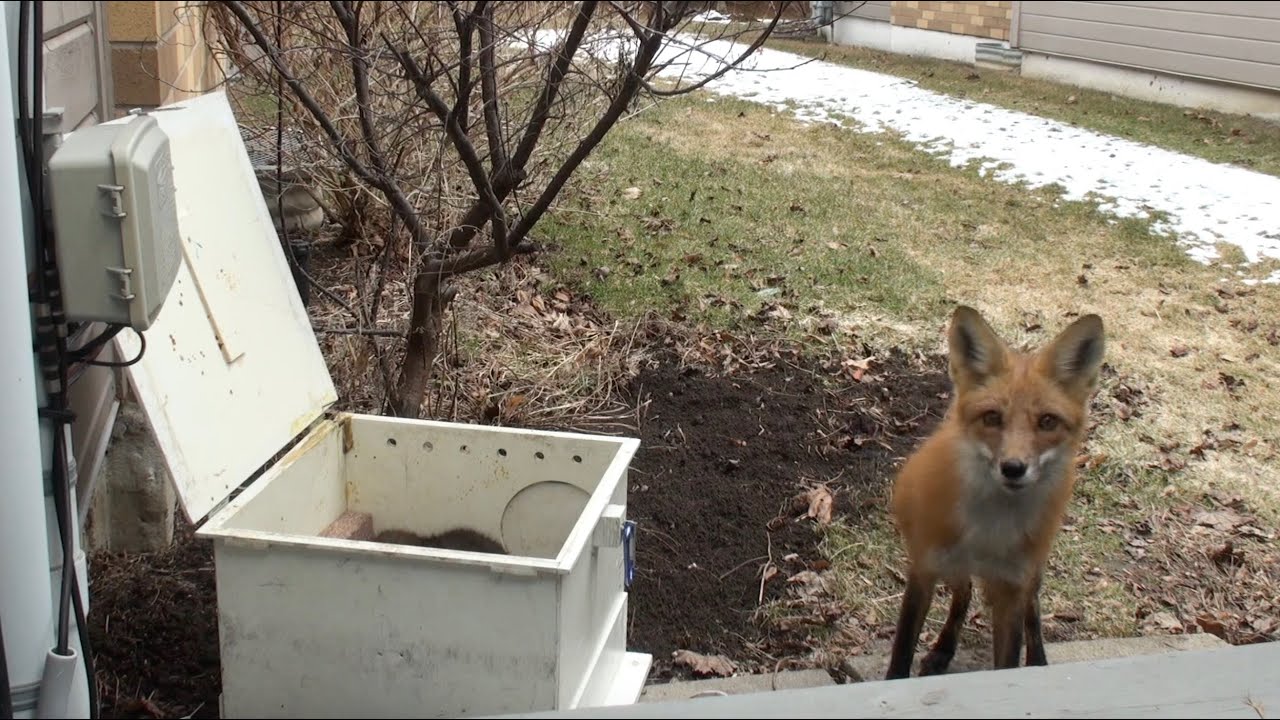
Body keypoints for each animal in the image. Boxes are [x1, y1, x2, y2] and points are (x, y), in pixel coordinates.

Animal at [885, 303, 1105, 676]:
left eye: (1047, 422)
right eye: (992, 418)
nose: (1013, 468)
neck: (990, 529)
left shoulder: (1011, 588)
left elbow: (1009, 658)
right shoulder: (924, 569)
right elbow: (901, 652)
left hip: (1030, 569)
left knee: (1032, 607)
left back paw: (1037, 659)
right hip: (953, 567)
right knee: (964, 595)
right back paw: (943, 650)